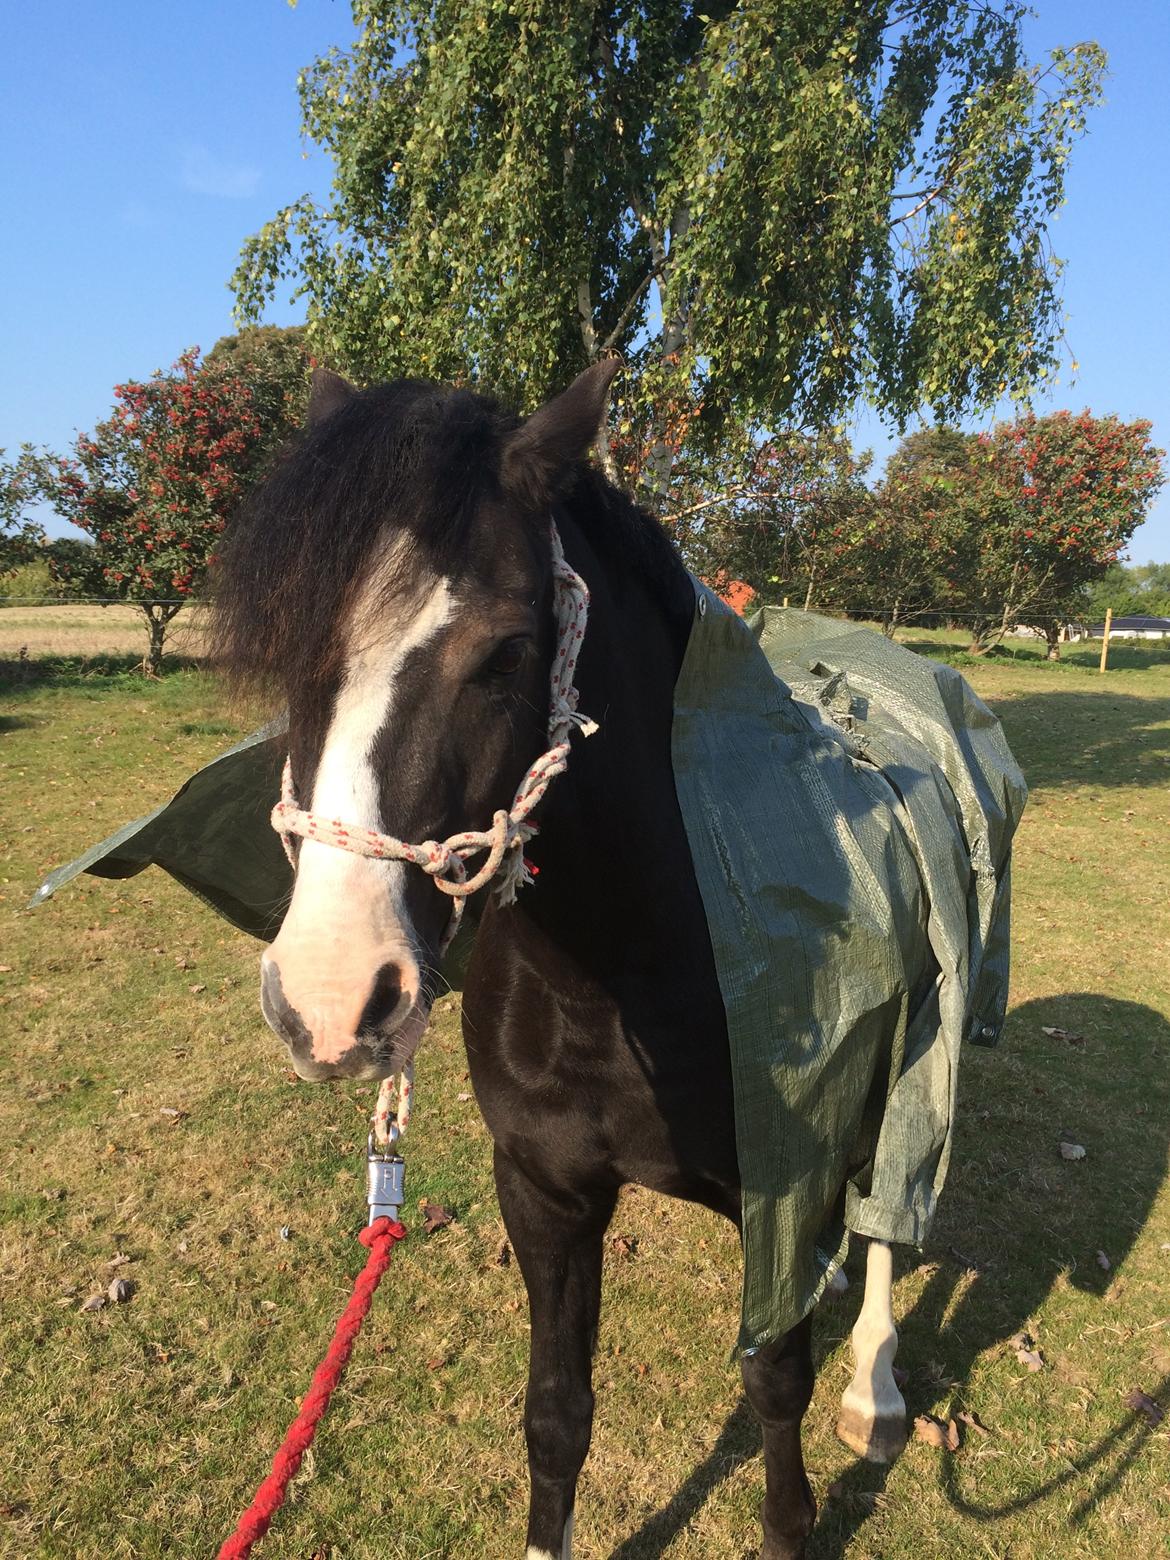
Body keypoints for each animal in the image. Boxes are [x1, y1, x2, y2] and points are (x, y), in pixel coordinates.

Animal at [211, 360, 913, 1559]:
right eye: (292, 654)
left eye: (504, 653)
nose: (330, 1001)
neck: (634, 975)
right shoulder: (543, 1192)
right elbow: (555, 1414)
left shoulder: (785, 1189)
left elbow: (776, 1380)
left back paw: (877, 1388)